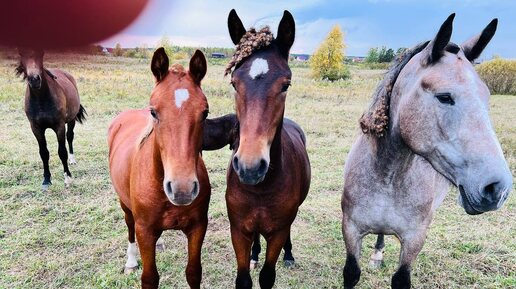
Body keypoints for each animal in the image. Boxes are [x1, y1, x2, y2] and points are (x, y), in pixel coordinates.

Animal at [15, 48, 85, 190]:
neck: (41, 99)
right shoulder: (36, 128)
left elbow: (62, 151)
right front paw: (46, 180)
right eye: (21, 53)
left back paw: (72, 160)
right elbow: (44, 153)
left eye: (41, 53)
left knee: (70, 137)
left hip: (71, 120)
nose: (34, 80)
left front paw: (68, 178)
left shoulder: (59, 126)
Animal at [108, 48, 211, 286]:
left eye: (205, 113)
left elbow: (193, 272)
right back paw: (130, 261)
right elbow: (150, 278)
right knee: (129, 226)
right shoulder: (145, 231)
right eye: (153, 112)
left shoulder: (198, 227)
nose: (182, 189)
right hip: (125, 205)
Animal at [223, 10, 310, 286]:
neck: (261, 189)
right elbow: (243, 279)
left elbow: (267, 276)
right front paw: (251, 257)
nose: (250, 167)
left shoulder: (278, 231)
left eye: (286, 85)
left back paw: (289, 255)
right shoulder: (238, 230)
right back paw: (254, 254)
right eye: (234, 83)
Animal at [340, 14, 512, 288]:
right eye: (444, 97)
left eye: (486, 98)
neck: (388, 176)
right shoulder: (351, 230)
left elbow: (401, 278)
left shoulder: (414, 240)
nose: (498, 188)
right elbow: (351, 272)